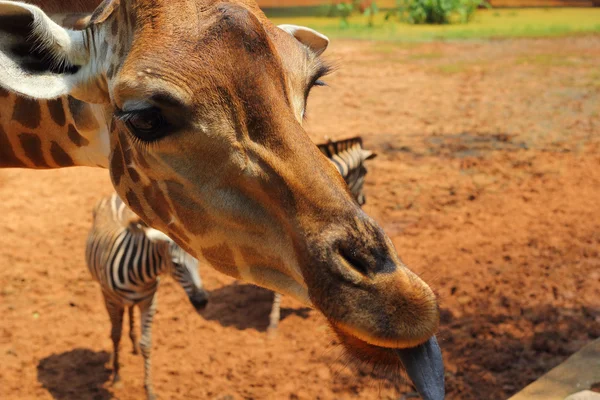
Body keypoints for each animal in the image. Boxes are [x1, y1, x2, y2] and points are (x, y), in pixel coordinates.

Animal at [85, 192, 209, 398]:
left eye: (197, 261)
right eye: (176, 264)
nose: (202, 302)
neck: (140, 274)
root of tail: (114, 195)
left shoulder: (149, 301)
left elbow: (147, 344)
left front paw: (149, 388)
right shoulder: (111, 300)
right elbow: (115, 335)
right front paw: (117, 375)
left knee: (130, 312)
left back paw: (133, 343)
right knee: (116, 324)